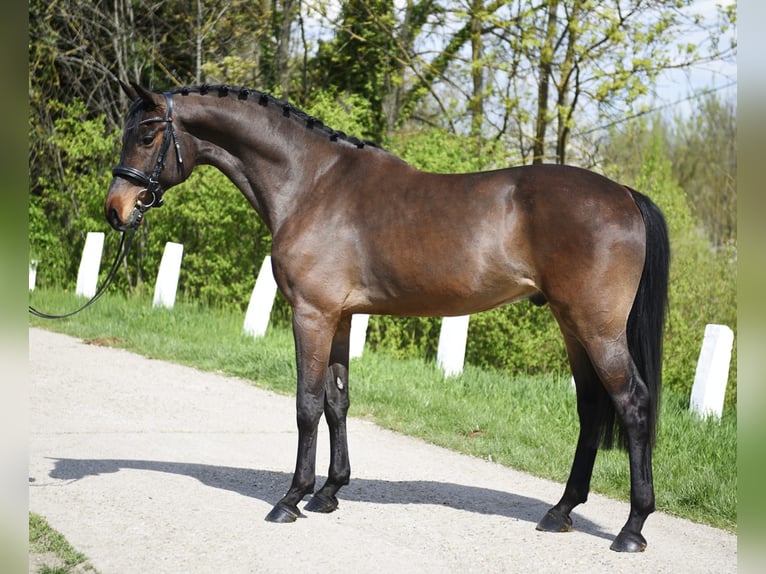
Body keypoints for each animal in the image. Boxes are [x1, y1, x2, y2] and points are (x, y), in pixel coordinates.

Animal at [105, 82, 669, 553]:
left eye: (148, 134)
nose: (116, 209)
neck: (312, 183)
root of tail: (625, 195)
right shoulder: (340, 317)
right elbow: (337, 402)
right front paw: (329, 492)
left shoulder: (311, 315)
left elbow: (307, 404)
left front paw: (291, 498)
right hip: (572, 326)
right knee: (592, 408)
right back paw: (561, 511)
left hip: (596, 328)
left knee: (633, 404)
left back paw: (632, 528)